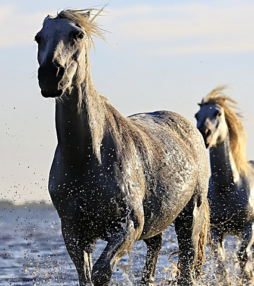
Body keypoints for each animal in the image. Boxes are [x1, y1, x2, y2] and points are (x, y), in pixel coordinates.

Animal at [35, 8, 209, 286]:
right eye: (38, 37)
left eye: (78, 34)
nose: (51, 75)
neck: (88, 157)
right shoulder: (74, 234)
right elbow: (87, 276)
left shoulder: (128, 226)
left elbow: (102, 272)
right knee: (154, 252)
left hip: (190, 217)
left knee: (187, 267)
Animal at [195, 86, 253, 284]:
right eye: (197, 115)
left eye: (218, 113)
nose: (204, 133)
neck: (229, 188)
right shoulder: (216, 230)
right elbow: (220, 264)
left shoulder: (249, 227)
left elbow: (242, 256)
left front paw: (247, 277)